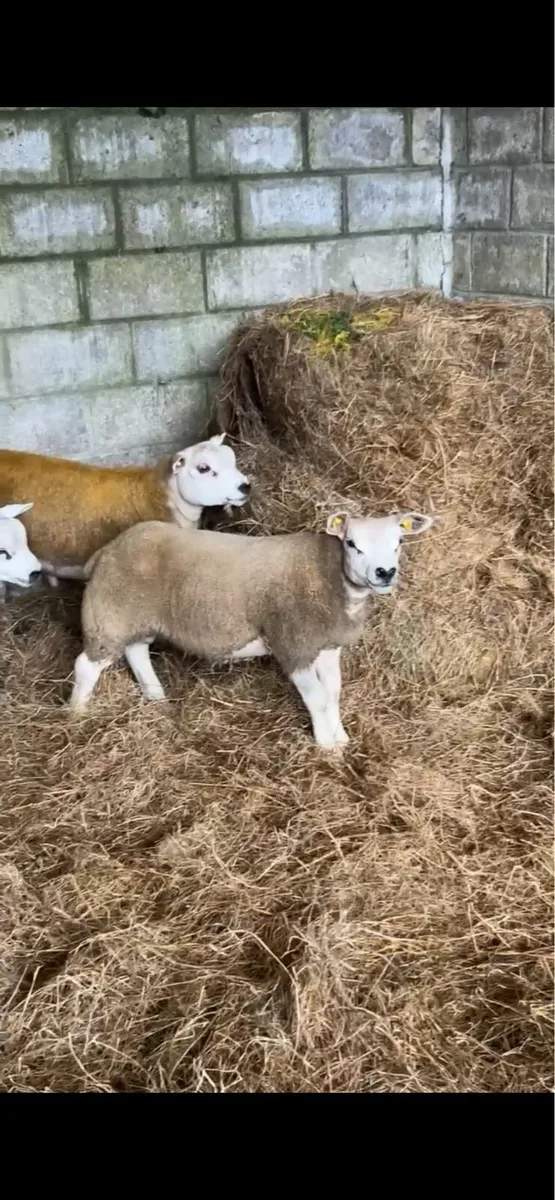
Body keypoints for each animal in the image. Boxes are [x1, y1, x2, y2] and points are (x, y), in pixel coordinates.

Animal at [68, 508, 434, 749]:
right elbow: (316, 698)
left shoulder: (327, 645)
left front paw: (340, 737)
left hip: (137, 615)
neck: (330, 576)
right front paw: (327, 747)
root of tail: (108, 549)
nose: (384, 572)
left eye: (399, 541)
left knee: (137, 650)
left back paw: (156, 697)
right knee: (86, 665)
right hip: (109, 613)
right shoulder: (293, 644)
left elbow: (333, 693)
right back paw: (76, 713)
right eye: (352, 544)